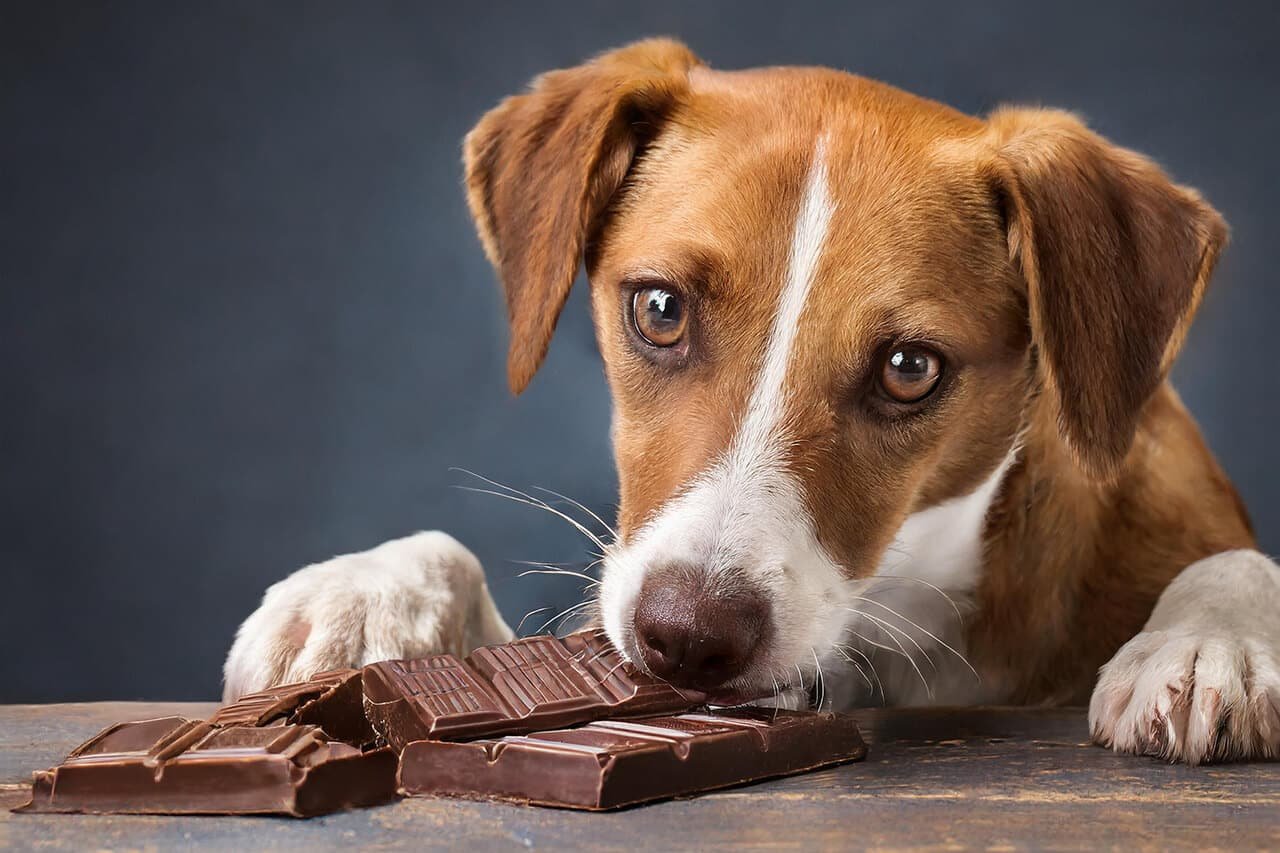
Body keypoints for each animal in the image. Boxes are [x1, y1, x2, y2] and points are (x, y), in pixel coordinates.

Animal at [225, 39, 1274, 763]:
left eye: (911, 367)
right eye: (658, 309)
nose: (688, 638)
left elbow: (1240, 562)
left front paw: (1210, 639)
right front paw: (366, 591)